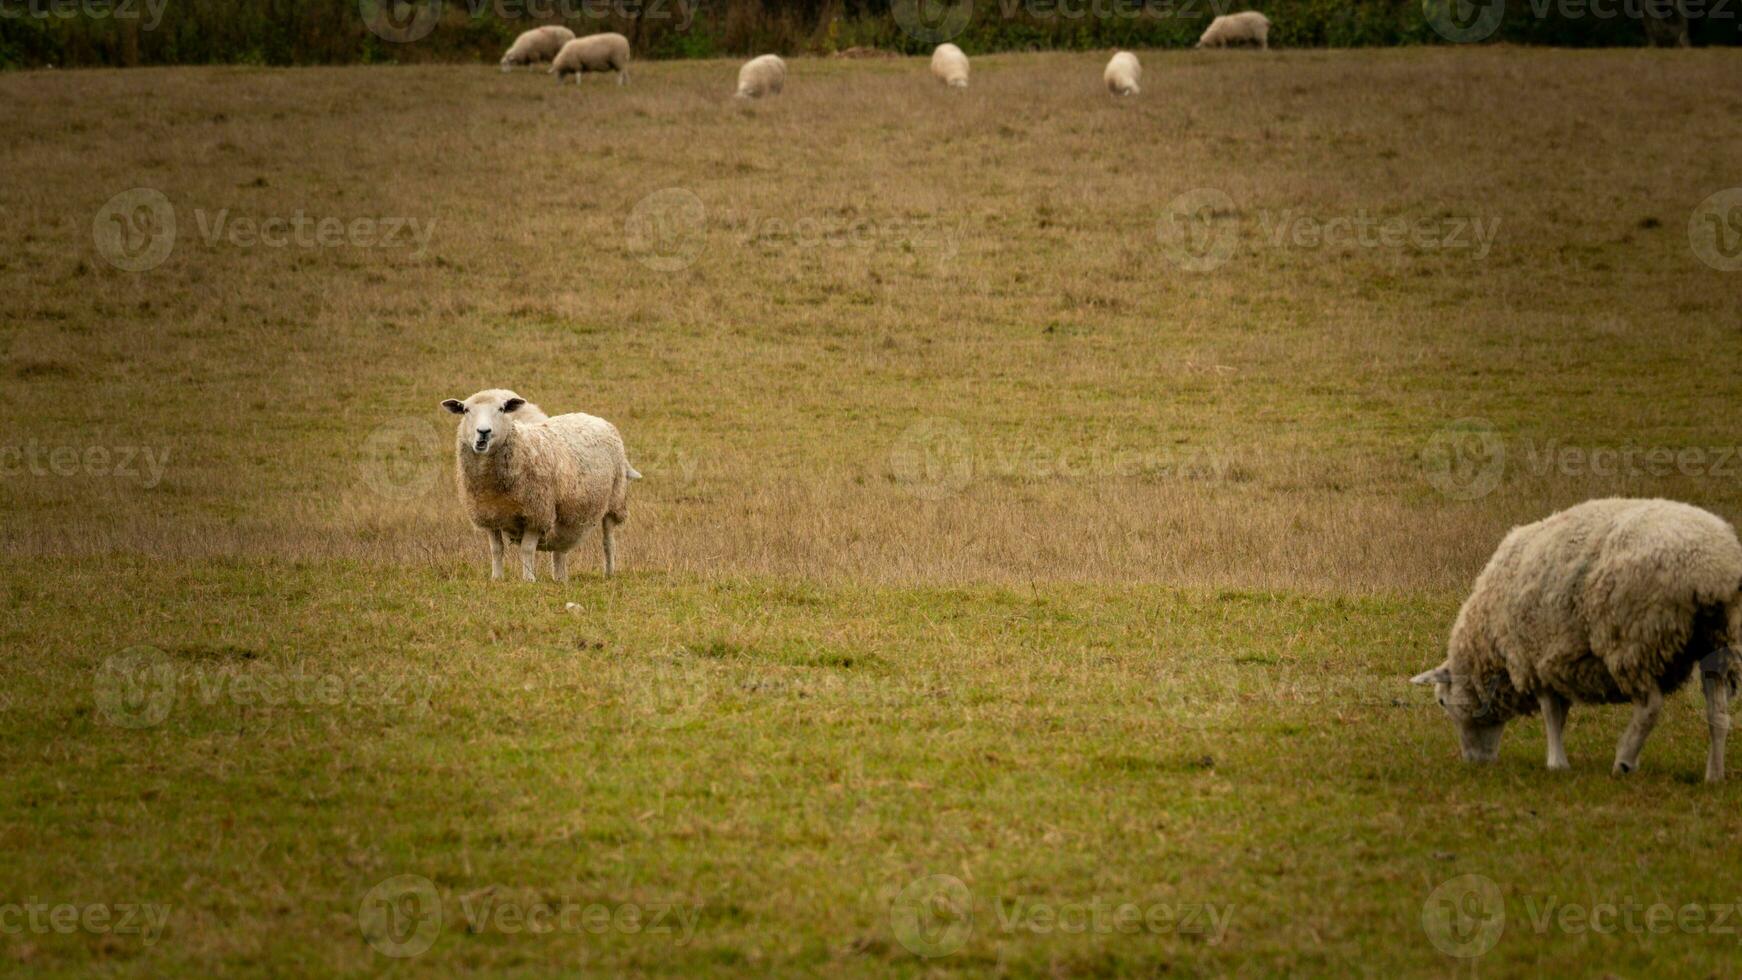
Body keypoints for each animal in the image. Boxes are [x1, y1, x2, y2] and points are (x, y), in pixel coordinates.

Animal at [442, 389, 641, 591]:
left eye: (502, 409)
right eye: (466, 410)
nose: (483, 432)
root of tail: (596, 418)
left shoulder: (536, 514)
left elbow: (527, 549)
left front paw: (528, 579)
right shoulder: (489, 516)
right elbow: (496, 550)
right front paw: (496, 578)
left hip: (615, 501)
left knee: (608, 542)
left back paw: (609, 573)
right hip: (565, 515)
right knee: (560, 548)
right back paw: (560, 577)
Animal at [1414, 497, 1742, 783]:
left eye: (1442, 701)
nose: (1474, 762)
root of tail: (1713, 570)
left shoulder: (1533, 658)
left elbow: (1551, 713)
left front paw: (1556, 763)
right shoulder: (1554, 661)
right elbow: (1560, 713)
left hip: (1632, 638)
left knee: (1650, 707)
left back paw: (1624, 761)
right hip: (1719, 644)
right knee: (1718, 714)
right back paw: (1714, 775)